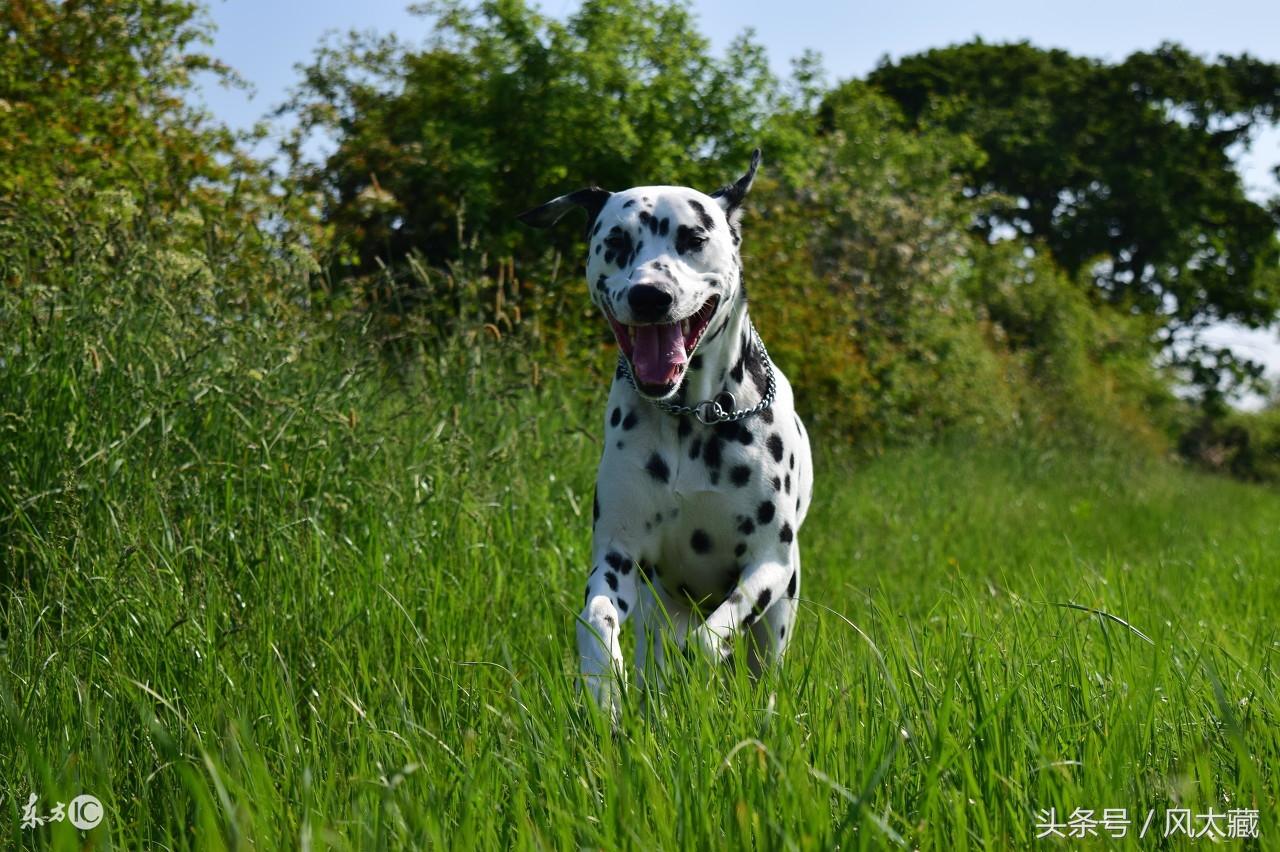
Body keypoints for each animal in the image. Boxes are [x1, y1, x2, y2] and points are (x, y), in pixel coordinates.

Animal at [517, 149, 808, 711]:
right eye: (615, 241)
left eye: (694, 238)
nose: (650, 295)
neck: (693, 418)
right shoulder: (617, 554)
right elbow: (596, 620)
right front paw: (604, 684)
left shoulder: (768, 563)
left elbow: (711, 637)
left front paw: (696, 668)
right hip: (660, 606)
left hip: (780, 613)